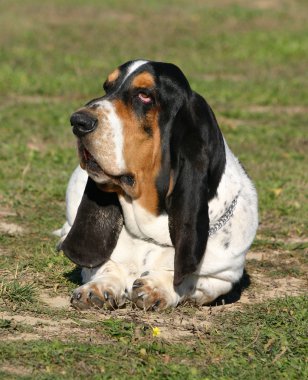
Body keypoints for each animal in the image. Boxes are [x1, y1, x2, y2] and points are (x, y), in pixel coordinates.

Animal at [57, 58, 258, 308]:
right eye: (107, 87)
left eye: (144, 95)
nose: (78, 122)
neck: (149, 232)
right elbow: (105, 265)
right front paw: (98, 288)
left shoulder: (224, 277)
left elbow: (186, 277)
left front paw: (157, 287)